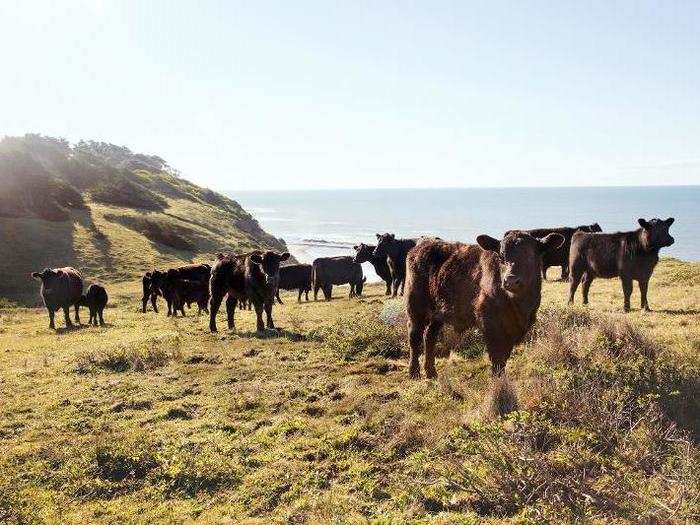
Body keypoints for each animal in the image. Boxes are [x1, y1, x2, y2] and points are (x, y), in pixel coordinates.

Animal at [404, 232, 564, 376]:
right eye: (501, 256)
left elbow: (504, 357)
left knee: (429, 337)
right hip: (415, 308)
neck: (520, 305)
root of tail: (422, 244)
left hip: (438, 313)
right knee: (415, 337)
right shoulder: (490, 325)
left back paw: (431, 372)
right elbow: (497, 359)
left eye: (530, 255)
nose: (510, 280)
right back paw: (414, 372)